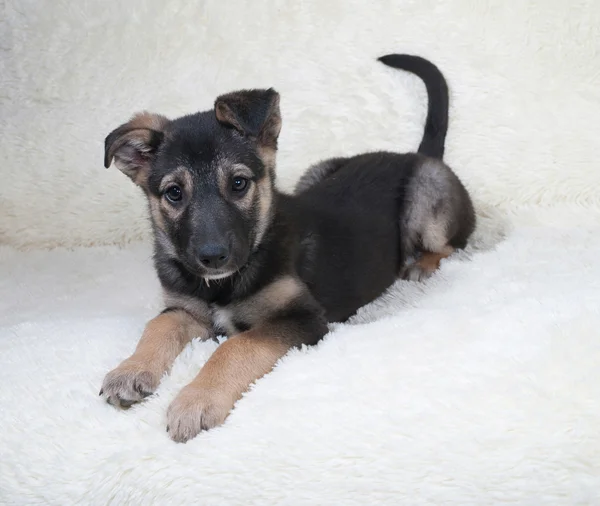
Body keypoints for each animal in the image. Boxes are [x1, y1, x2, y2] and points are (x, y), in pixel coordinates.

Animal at [99, 54, 474, 442]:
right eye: (174, 193)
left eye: (238, 183)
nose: (213, 256)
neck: (225, 283)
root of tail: (412, 155)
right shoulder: (184, 310)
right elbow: (158, 325)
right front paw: (131, 370)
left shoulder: (302, 319)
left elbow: (236, 346)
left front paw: (196, 400)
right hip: (317, 171)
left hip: (427, 195)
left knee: (451, 244)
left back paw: (422, 265)